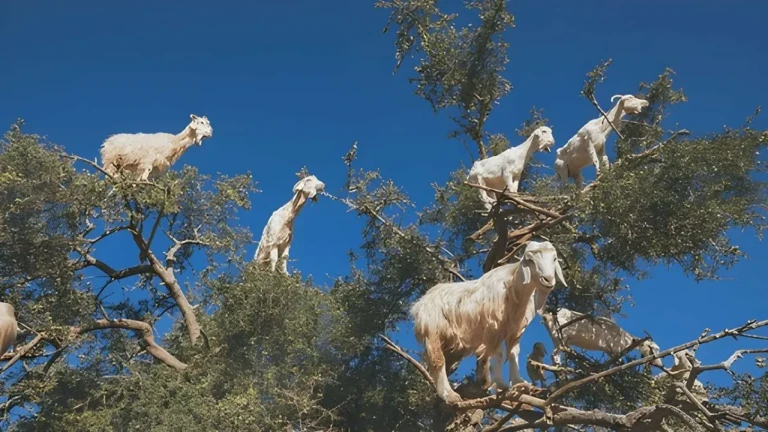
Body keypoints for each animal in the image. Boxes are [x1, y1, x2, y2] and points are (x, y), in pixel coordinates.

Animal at [411, 240, 566, 404]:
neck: (513, 288)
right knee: (438, 361)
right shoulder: (494, 328)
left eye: (554, 259)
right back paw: (450, 395)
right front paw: (502, 384)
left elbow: (513, 354)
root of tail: (420, 303)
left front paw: (519, 383)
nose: (548, 280)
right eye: (530, 260)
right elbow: (499, 355)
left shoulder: (514, 330)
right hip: (433, 331)